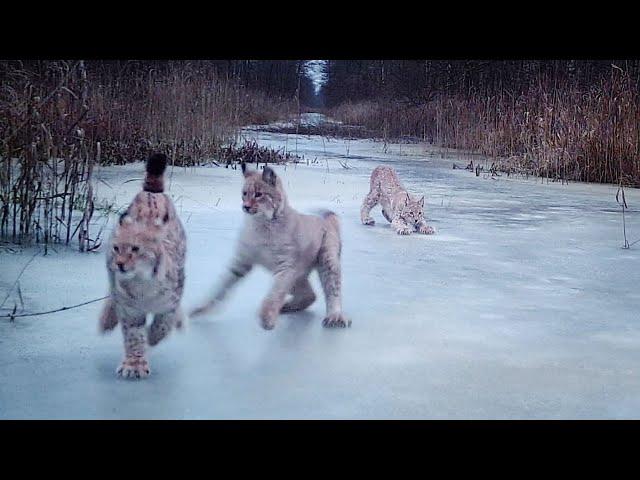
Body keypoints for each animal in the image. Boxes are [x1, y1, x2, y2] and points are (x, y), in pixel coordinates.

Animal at [97, 154, 186, 378]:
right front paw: (134, 364)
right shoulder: (130, 310)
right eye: (117, 248)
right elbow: (133, 335)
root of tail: (151, 193)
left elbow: (164, 321)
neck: (142, 281)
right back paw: (107, 319)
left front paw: (153, 336)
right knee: (111, 293)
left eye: (136, 249)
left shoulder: (171, 300)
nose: (120, 264)